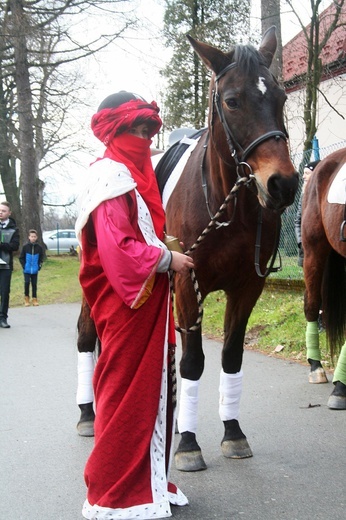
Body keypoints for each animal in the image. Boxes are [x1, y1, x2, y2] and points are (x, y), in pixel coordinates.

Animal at [76, 25, 300, 468]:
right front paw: (189, 443)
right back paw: (88, 414)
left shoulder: (247, 288)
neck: (229, 207)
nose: (283, 184)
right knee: (86, 335)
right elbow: (193, 362)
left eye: (281, 99)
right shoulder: (185, 283)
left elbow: (230, 356)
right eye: (232, 101)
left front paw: (232, 432)